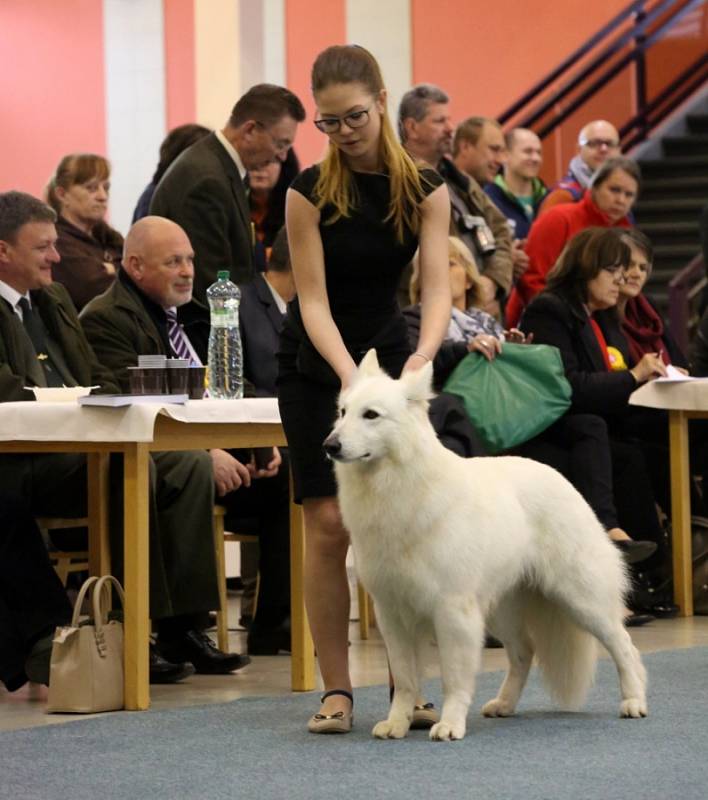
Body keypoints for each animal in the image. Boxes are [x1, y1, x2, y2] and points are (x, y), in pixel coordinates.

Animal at [324, 354, 648, 740]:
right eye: (343, 412)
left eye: (371, 415)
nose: (329, 445)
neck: (400, 485)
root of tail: (560, 477)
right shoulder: (393, 614)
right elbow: (404, 679)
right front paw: (397, 723)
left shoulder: (452, 611)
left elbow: (452, 678)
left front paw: (449, 724)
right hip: (501, 609)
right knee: (524, 651)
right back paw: (504, 704)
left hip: (581, 599)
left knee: (623, 644)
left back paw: (634, 701)